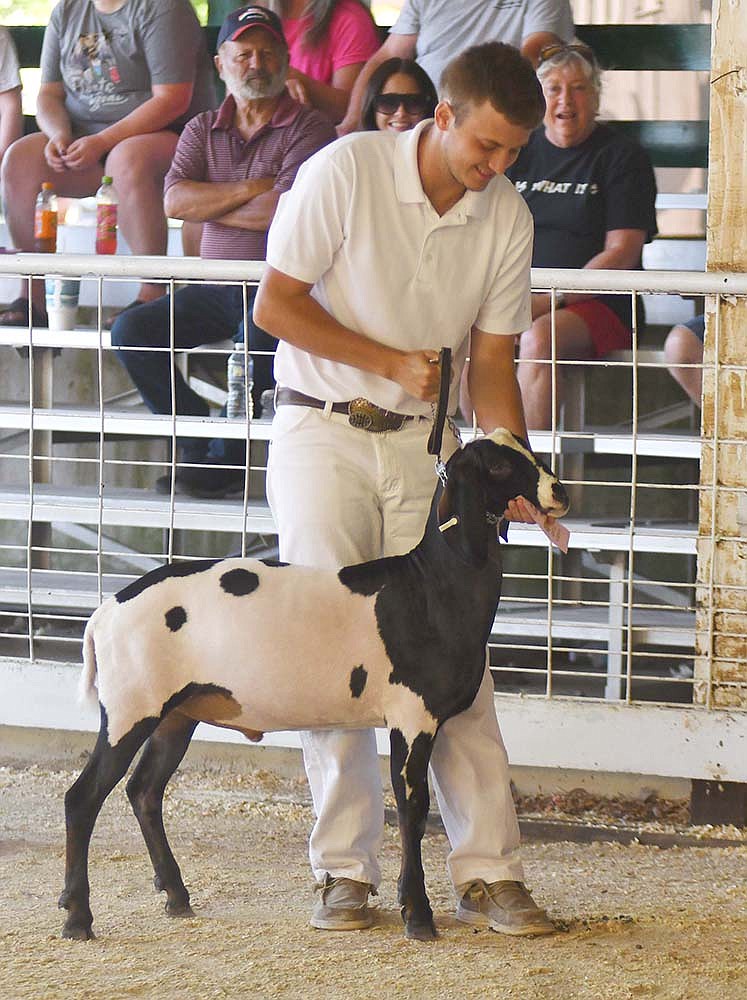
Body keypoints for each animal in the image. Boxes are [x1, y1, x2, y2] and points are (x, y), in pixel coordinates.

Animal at [61, 428, 568, 936]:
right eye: (497, 465)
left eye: (526, 448)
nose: (559, 492)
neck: (431, 587)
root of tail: (105, 612)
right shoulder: (412, 717)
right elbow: (414, 811)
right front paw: (418, 914)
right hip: (130, 709)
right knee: (83, 797)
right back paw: (78, 916)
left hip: (177, 714)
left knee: (144, 791)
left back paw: (175, 894)